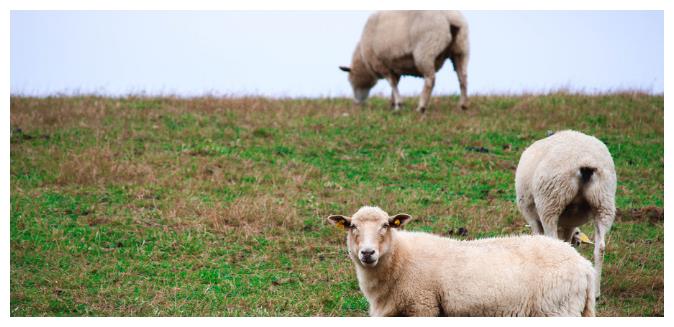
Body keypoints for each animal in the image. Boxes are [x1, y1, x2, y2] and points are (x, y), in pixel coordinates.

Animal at [326, 206, 592, 316]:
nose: (367, 253)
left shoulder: (423, 307)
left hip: (556, 309)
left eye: (385, 226)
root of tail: (584, 265)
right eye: (352, 226)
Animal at [336, 10, 468, 113]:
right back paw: (463, 105)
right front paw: (393, 104)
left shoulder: (382, 65)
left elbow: (393, 84)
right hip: (461, 50)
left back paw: (421, 107)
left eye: (350, 81)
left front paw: (399, 104)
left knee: (430, 80)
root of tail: (450, 17)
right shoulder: (395, 67)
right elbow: (395, 84)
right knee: (462, 77)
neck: (364, 60)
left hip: (426, 51)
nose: (357, 103)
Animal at [516, 131, 616, 300]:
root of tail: (586, 163)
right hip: (603, 202)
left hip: (550, 201)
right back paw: (596, 292)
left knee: (553, 239)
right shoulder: (570, 224)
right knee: (601, 247)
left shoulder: (530, 214)